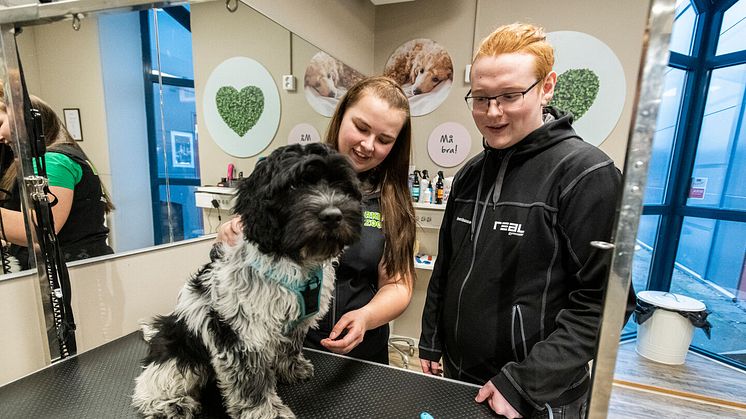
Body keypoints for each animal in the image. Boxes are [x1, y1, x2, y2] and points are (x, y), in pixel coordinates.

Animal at [134, 143, 366, 418]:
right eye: (292, 187)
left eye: (339, 184)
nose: (332, 215)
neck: (295, 260)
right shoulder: (242, 333)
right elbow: (251, 380)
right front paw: (265, 411)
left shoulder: (295, 323)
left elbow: (290, 347)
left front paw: (292, 369)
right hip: (178, 351)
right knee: (153, 383)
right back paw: (171, 404)